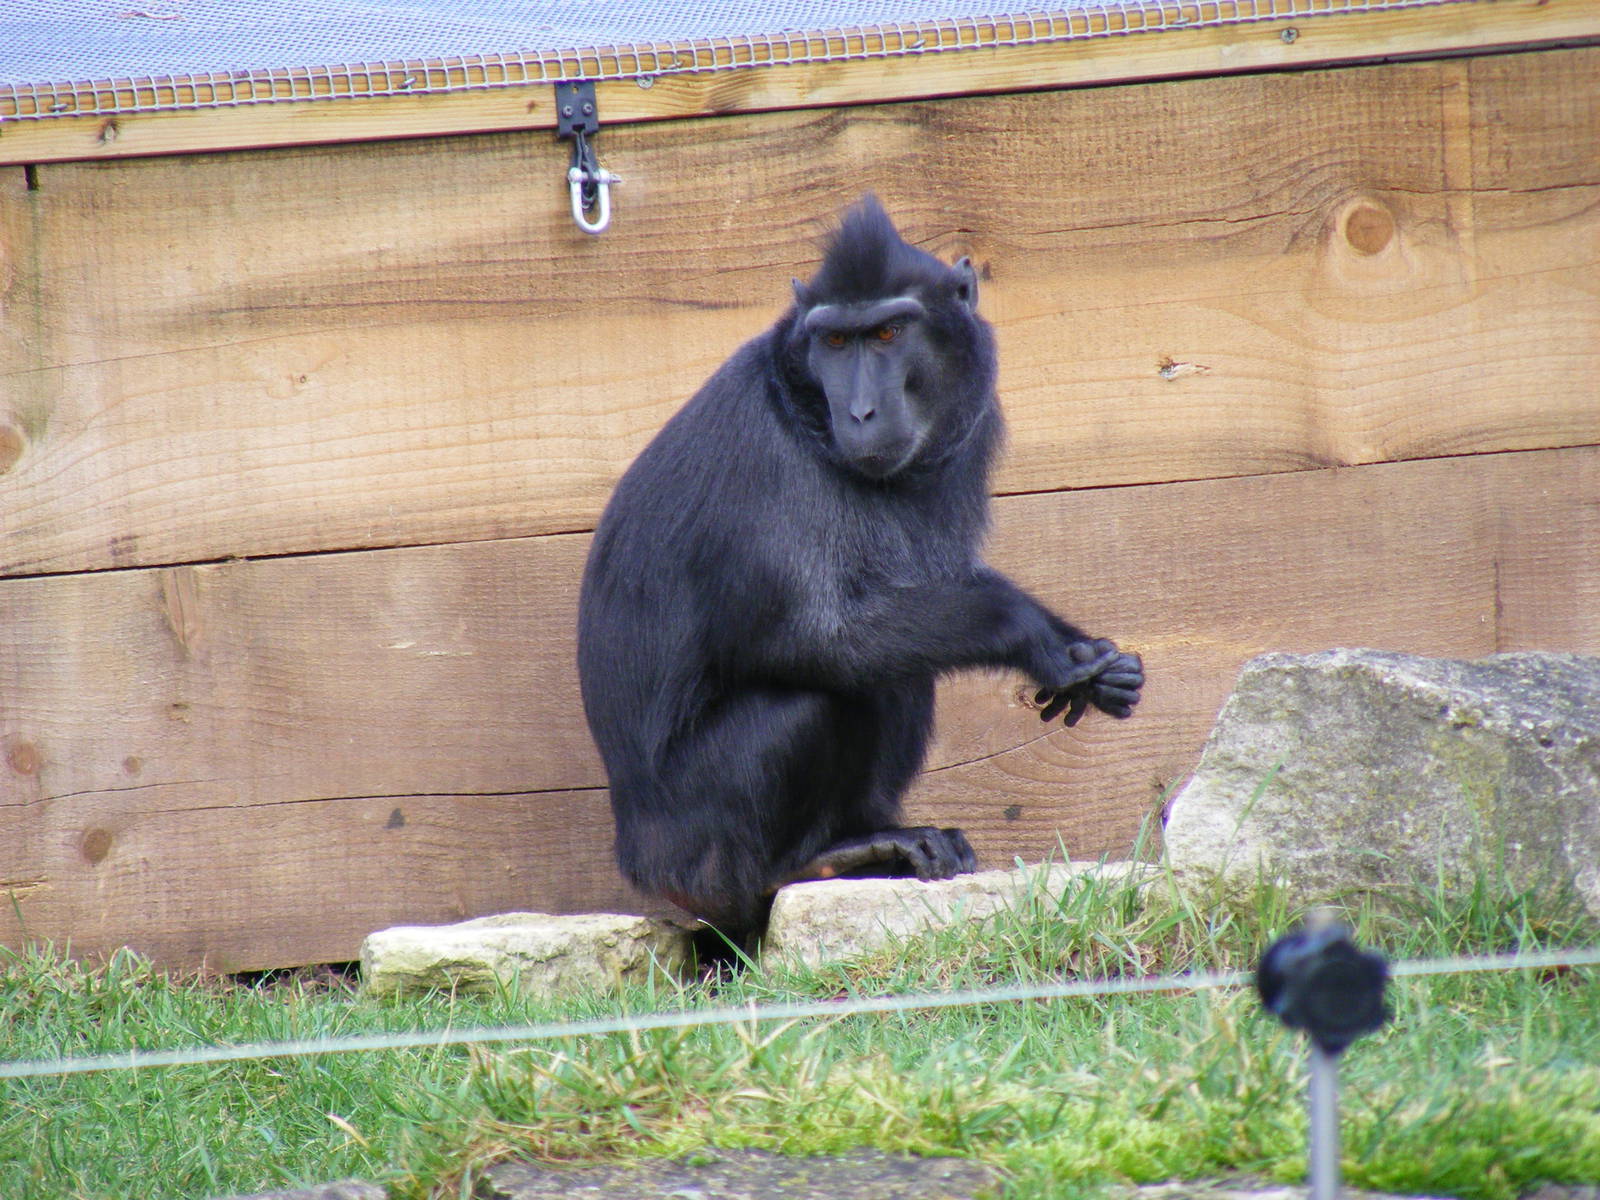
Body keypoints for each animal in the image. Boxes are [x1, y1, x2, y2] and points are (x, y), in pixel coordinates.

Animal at [576, 195, 1142, 938]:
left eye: (889, 332)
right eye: (837, 343)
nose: (862, 411)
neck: (803, 407)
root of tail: (636, 853)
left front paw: (1090, 653)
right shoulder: (764, 459)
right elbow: (808, 635)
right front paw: (1032, 633)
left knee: (899, 670)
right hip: (693, 844)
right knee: (820, 695)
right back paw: (810, 863)